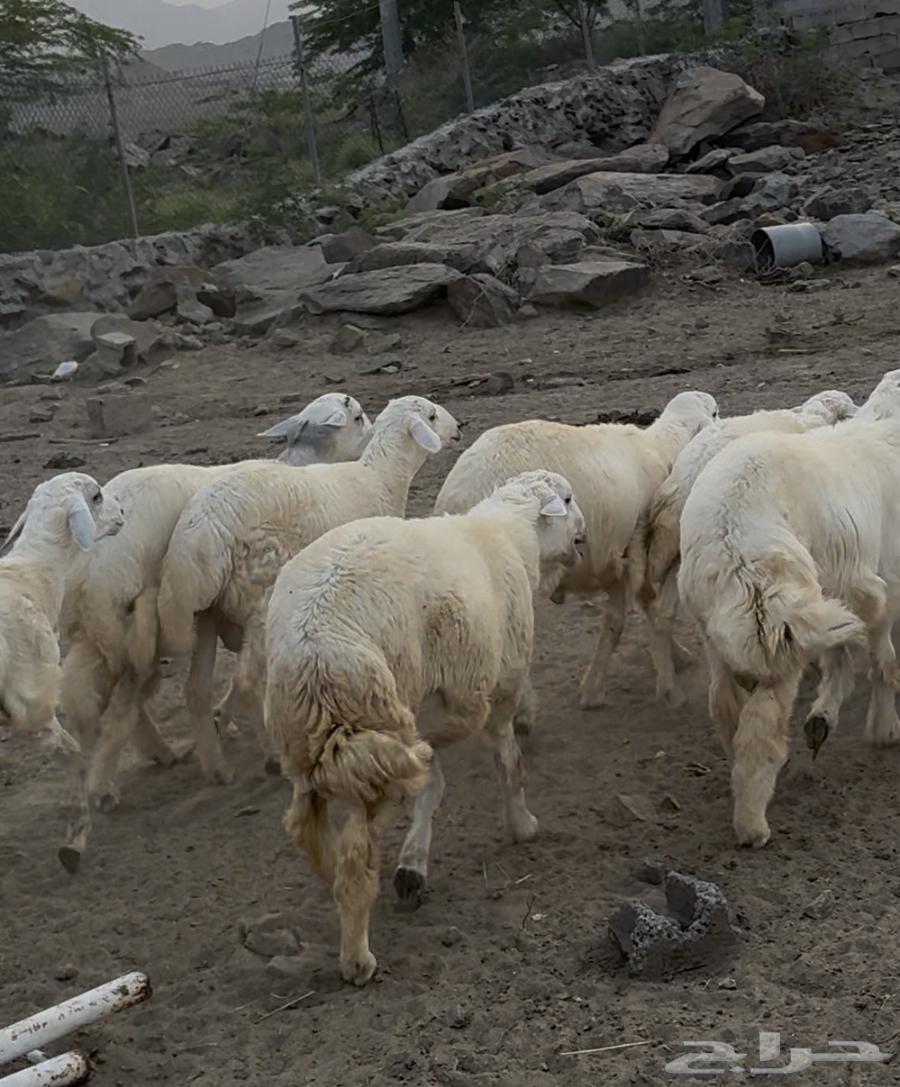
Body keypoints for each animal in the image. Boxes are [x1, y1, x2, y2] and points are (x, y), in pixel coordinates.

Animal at [58, 393, 371, 843]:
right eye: (358, 417)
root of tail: (83, 574)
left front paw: (226, 720)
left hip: (100, 636)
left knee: (88, 695)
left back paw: (143, 759)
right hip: (137, 625)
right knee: (125, 699)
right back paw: (118, 780)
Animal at [157, 395, 460, 788]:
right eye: (432, 416)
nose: (459, 429)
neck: (379, 478)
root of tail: (202, 532)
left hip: (209, 610)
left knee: (196, 688)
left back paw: (217, 767)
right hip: (259, 593)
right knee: (249, 682)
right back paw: (271, 756)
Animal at [264, 469, 586, 986]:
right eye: (570, 499)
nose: (584, 536)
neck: (510, 536)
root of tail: (314, 655)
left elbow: (434, 776)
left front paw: (413, 864)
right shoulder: (486, 693)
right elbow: (505, 761)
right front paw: (521, 824)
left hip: (309, 747)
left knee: (309, 830)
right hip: (371, 738)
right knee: (356, 859)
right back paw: (357, 958)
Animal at [433, 390, 718, 720]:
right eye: (715, 412)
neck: (664, 446)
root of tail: (456, 498)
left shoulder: (613, 558)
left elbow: (627, 615)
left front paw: (674, 658)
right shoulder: (634, 543)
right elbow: (636, 611)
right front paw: (661, 685)